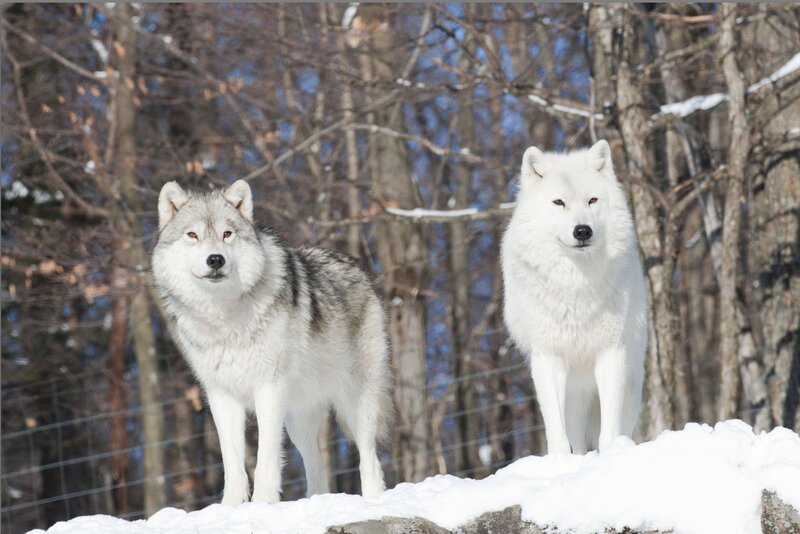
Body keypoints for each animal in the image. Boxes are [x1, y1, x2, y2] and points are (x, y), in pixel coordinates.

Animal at [152, 180, 392, 504]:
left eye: (227, 234)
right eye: (192, 235)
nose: (215, 259)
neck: (224, 317)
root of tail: (358, 268)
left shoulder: (268, 388)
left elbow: (266, 458)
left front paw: (263, 503)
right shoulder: (221, 395)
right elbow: (232, 463)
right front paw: (231, 506)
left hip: (355, 402)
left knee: (369, 458)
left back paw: (373, 501)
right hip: (297, 420)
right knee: (317, 465)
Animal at [501, 140, 647, 455]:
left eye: (592, 200)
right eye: (559, 202)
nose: (582, 231)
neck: (575, 286)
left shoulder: (610, 354)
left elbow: (609, 431)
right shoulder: (547, 359)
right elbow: (557, 434)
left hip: (630, 383)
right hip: (574, 397)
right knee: (576, 438)